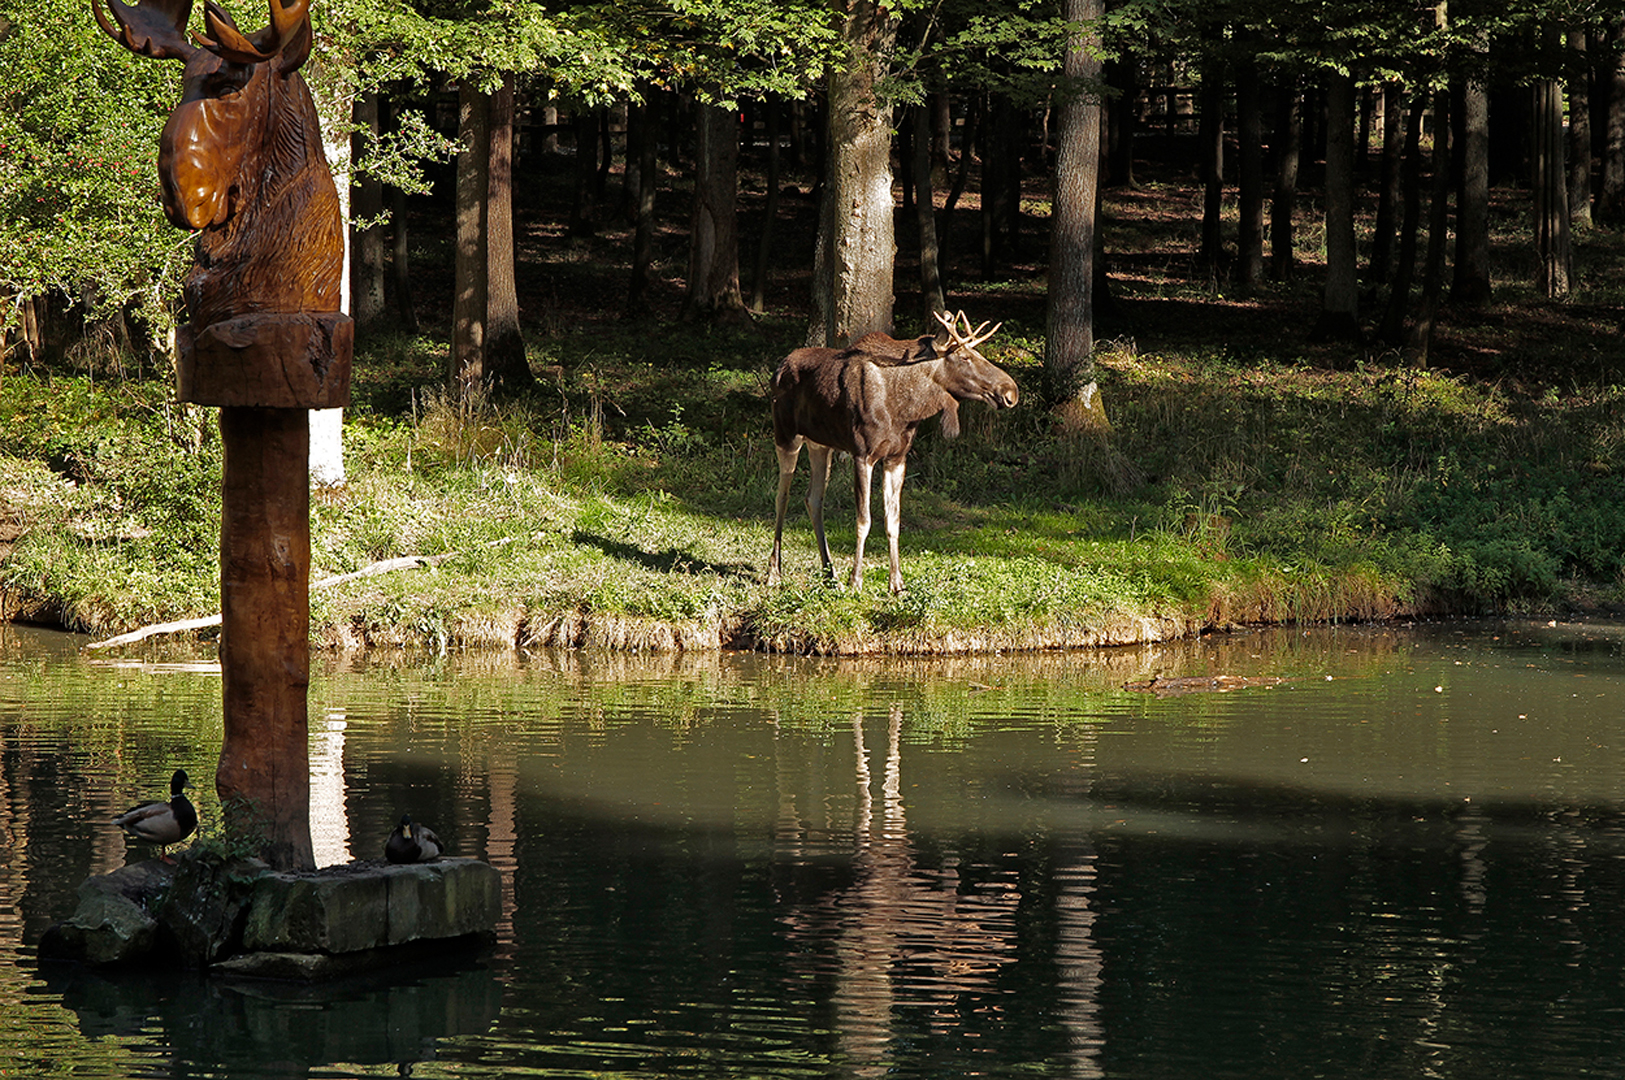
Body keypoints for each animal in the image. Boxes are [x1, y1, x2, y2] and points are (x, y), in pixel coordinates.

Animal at [770, 311, 1014, 594]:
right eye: (964, 357)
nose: (1011, 391)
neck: (906, 408)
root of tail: (778, 369)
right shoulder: (862, 455)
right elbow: (864, 520)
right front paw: (856, 580)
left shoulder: (897, 458)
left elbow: (893, 520)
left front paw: (897, 582)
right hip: (786, 436)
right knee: (782, 496)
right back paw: (774, 572)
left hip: (820, 444)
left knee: (813, 499)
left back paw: (830, 574)